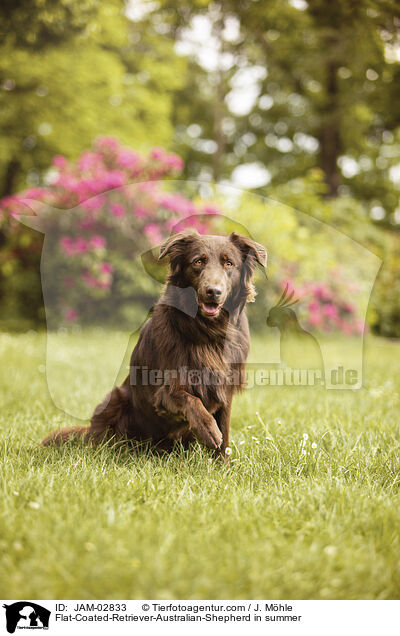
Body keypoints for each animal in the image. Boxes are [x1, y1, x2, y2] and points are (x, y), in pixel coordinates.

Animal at [42, 230, 268, 458]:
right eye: (198, 262)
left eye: (229, 263)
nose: (213, 291)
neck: (207, 330)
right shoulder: (163, 393)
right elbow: (190, 399)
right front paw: (207, 428)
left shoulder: (225, 391)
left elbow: (224, 437)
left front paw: (222, 463)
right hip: (115, 400)